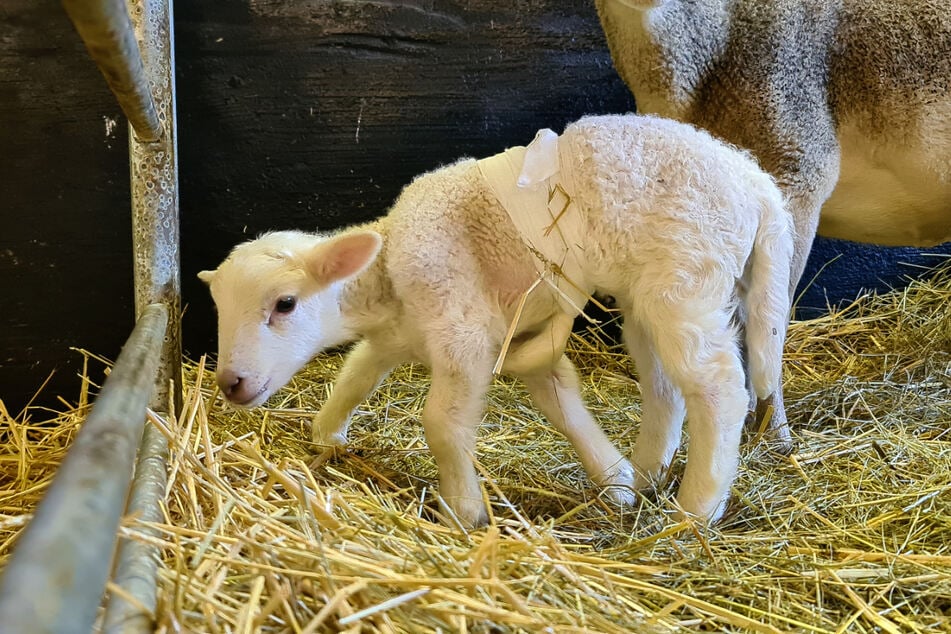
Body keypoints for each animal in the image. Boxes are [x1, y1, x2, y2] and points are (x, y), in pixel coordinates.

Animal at [201, 115, 796, 528]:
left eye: (285, 304)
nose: (230, 384)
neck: (389, 275)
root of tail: (758, 185)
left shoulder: (463, 332)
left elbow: (442, 425)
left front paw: (465, 511)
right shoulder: (420, 335)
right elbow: (358, 373)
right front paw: (616, 481)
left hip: (686, 280)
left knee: (719, 388)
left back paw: (694, 510)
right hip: (649, 298)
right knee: (665, 387)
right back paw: (650, 474)